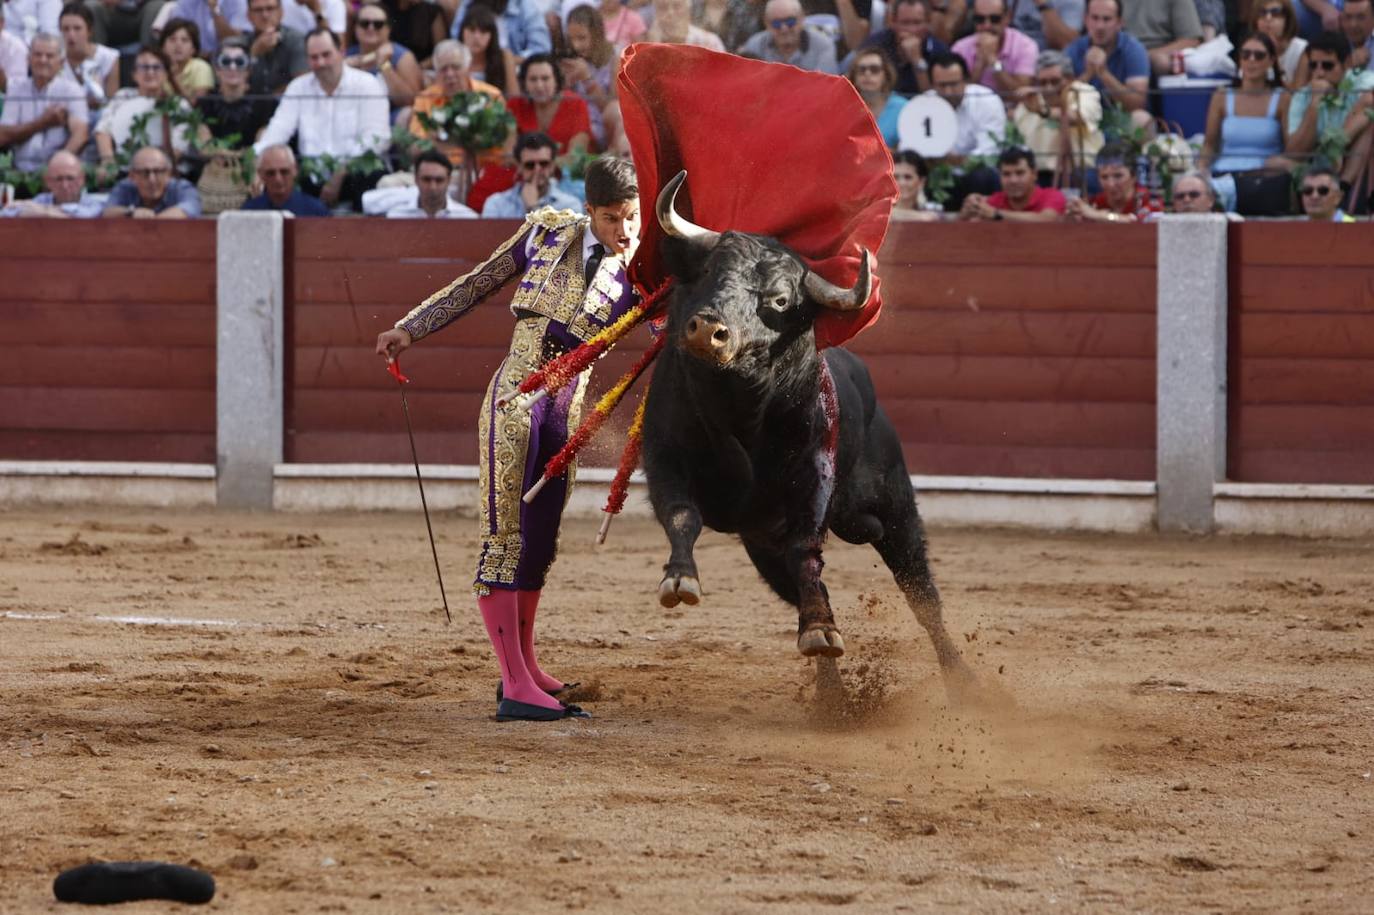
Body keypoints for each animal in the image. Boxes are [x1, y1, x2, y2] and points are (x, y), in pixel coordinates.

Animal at [637, 171, 972, 692]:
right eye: (710, 272)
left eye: (779, 300)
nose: (708, 330)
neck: (739, 406)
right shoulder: (665, 457)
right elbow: (682, 515)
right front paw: (679, 579)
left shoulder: (813, 477)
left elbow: (807, 550)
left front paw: (819, 629)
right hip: (762, 544)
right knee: (804, 587)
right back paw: (831, 696)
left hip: (895, 507)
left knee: (922, 596)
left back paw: (964, 682)